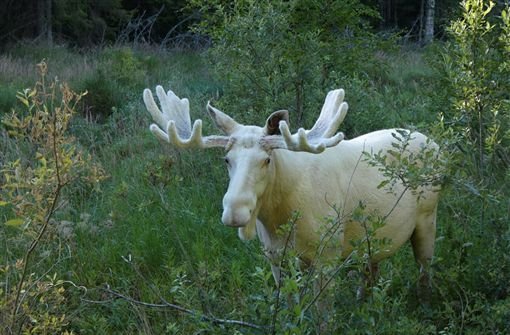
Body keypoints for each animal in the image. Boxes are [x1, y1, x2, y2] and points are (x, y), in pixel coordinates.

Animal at [142, 86, 438, 294]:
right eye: (226, 159)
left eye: (266, 159)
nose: (235, 212)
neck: (280, 217)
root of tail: (436, 143)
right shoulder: (275, 259)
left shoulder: (327, 255)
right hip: (371, 242)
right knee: (370, 275)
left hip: (427, 219)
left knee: (425, 272)